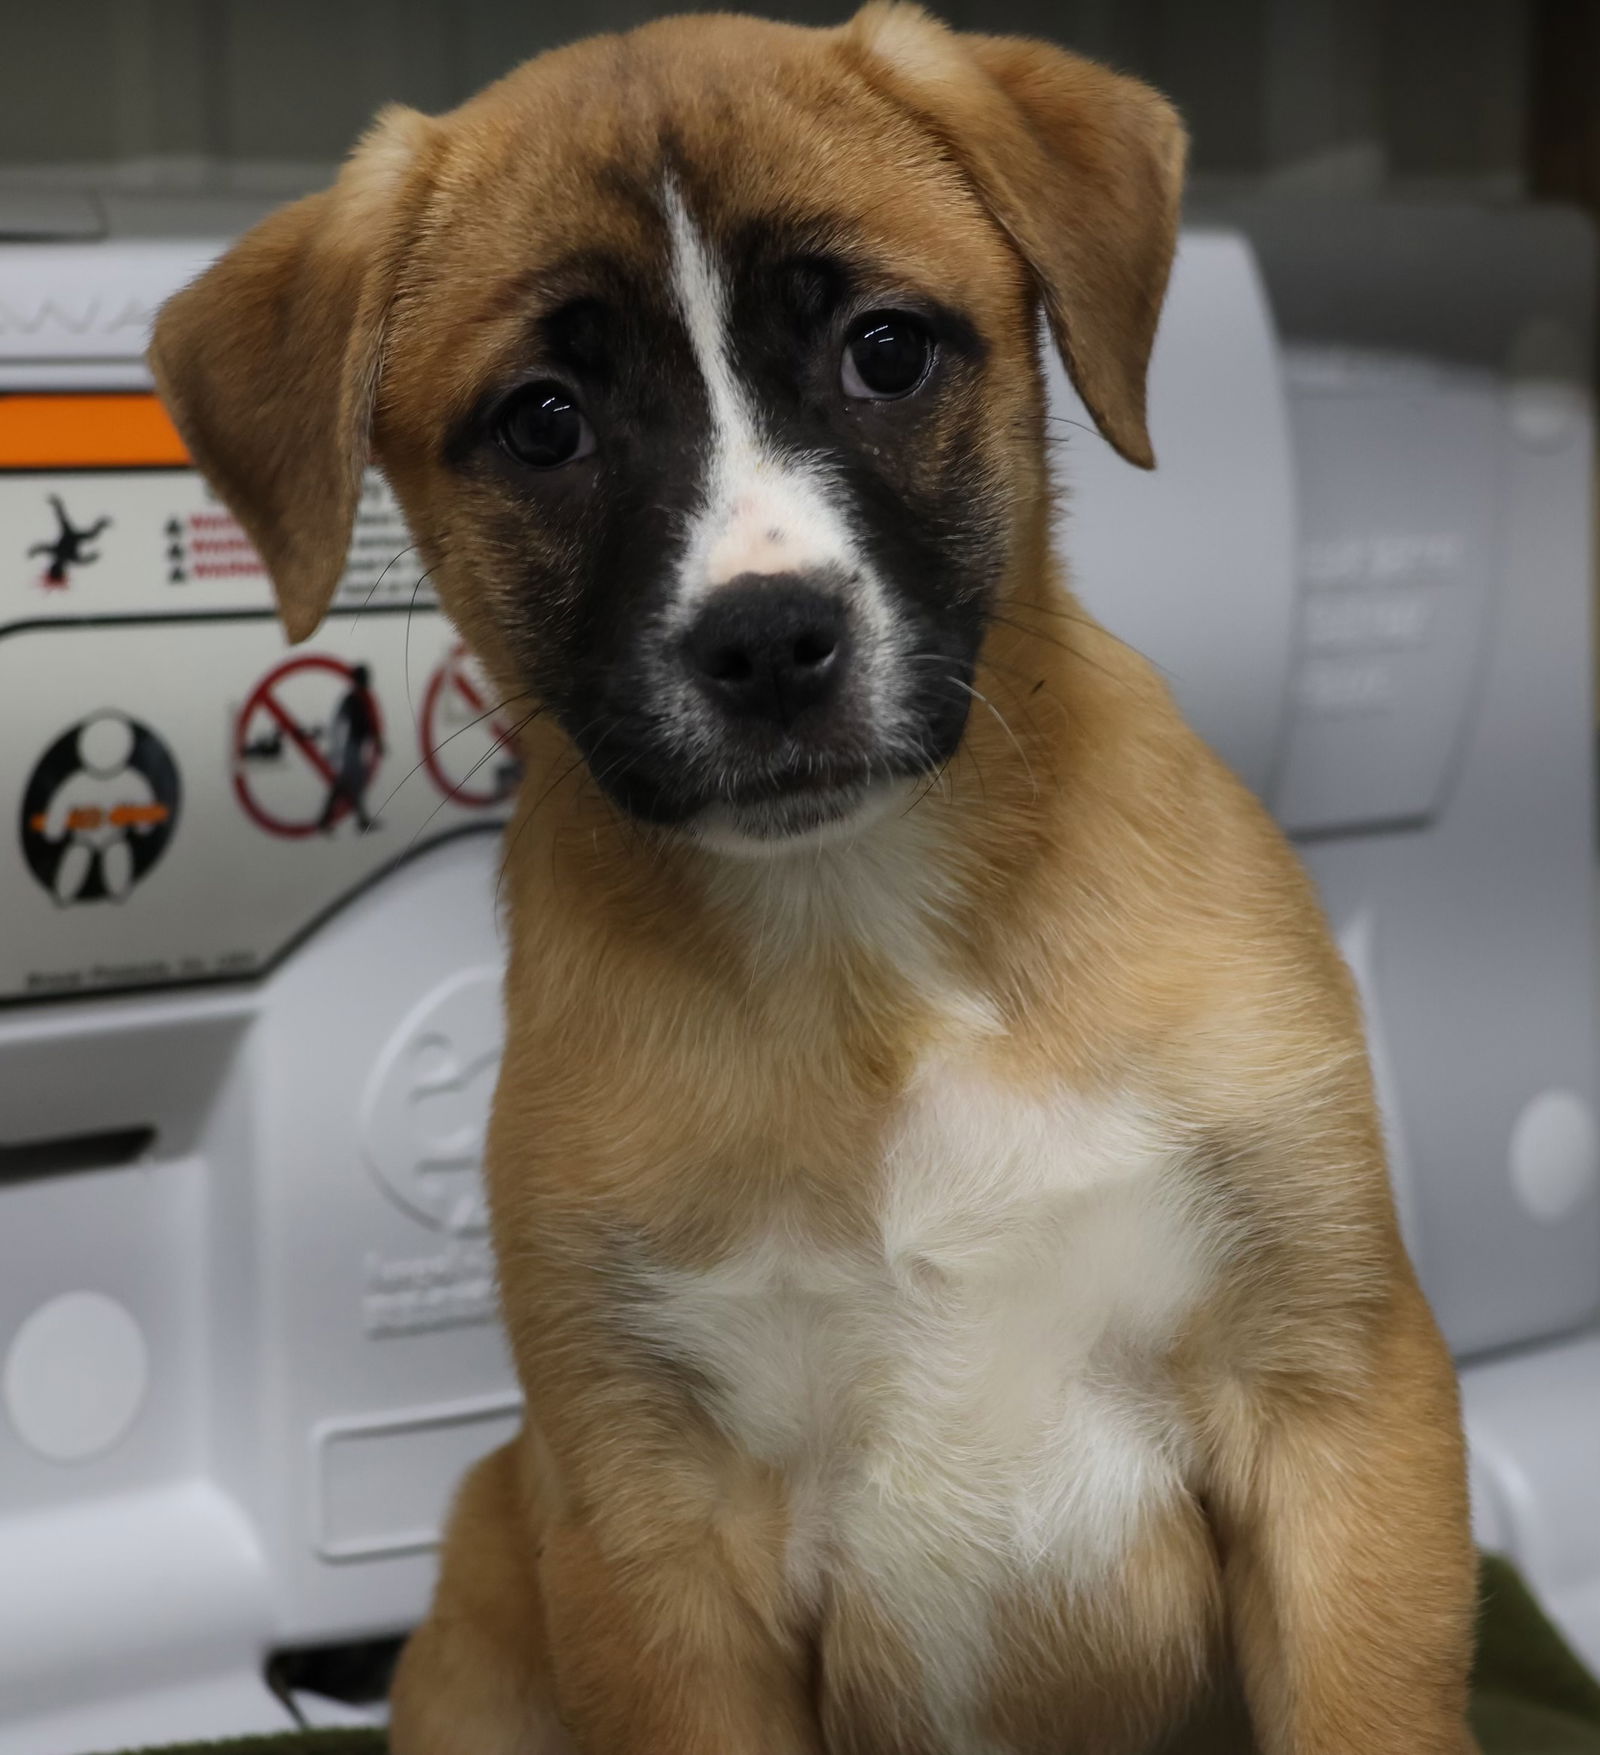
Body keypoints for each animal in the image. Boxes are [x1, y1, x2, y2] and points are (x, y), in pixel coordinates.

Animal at [153, 6, 1487, 1747]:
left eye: (886, 348)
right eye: (542, 420)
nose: (770, 638)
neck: (869, 935)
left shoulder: (1334, 1398)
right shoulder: (656, 1535)